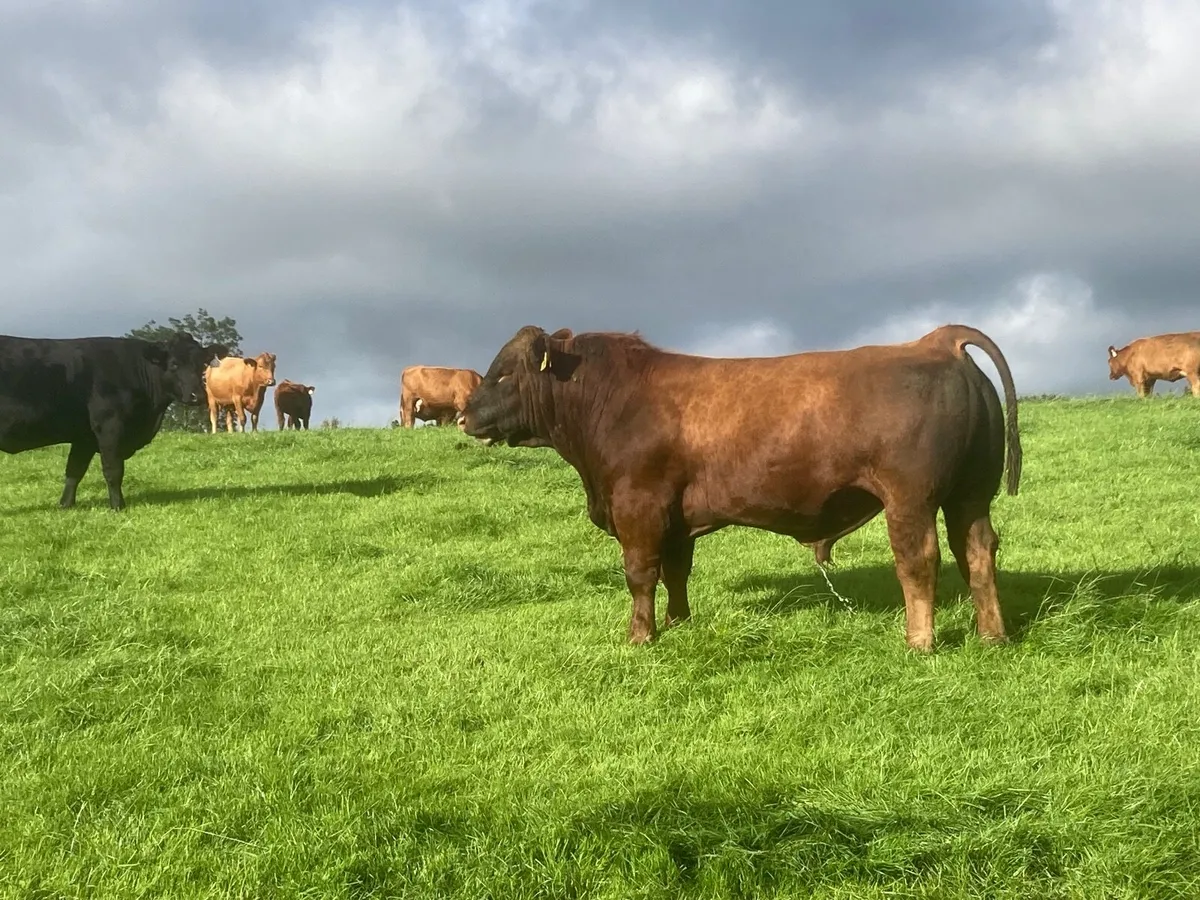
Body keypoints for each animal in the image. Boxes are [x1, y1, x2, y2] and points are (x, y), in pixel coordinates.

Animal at [0, 330, 228, 510]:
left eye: (203, 364)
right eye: (174, 365)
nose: (197, 396)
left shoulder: (85, 437)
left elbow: (74, 471)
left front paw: (65, 505)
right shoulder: (110, 426)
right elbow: (113, 470)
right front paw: (118, 506)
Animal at [462, 324, 1022, 652]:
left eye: (504, 373)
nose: (464, 416)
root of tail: (936, 341)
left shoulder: (638, 505)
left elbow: (640, 574)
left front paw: (640, 636)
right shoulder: (675, 517)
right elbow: (676, 573)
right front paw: (679, 622)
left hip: (910, 498)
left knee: (918, 560)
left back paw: (919, 641)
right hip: (971, 493)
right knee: (976, 552)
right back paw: (992, 635)